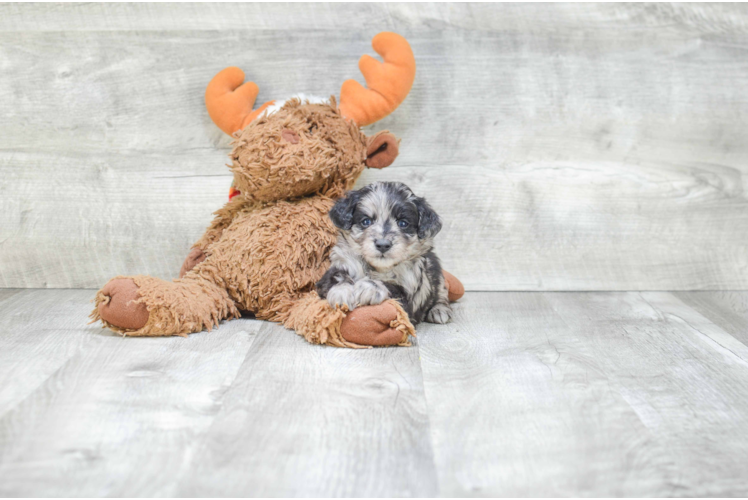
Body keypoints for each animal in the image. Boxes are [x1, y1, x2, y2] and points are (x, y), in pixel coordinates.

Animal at [314, 182, 452, 326]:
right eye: (366, 221)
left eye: (403, 223)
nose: (383, 244)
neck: (377, 268)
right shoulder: (341, 263)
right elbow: (337, 276)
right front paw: (342, 292)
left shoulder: (409, 295)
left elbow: (391, 287)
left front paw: (370, 287)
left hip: (436, 272)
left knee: (442, 292)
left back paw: (439, 310)